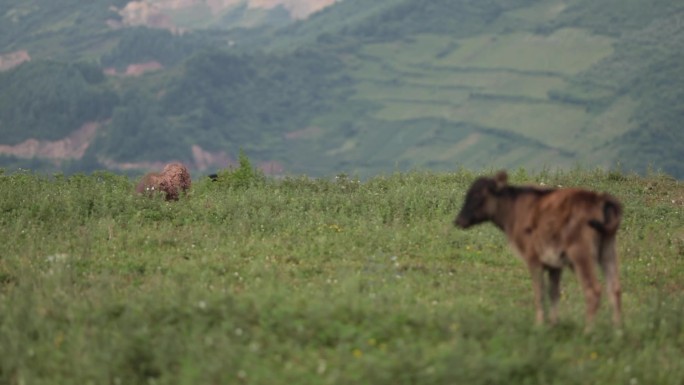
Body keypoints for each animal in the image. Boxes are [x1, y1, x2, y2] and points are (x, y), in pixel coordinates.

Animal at [454, 171, 620, 328]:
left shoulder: (533, 259)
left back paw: (588, 332)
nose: (458, 220)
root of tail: (599, 199)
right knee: (614, 289)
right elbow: (553, 293)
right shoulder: (554, 265)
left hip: (580, 255)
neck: (514, 209)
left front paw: (539, 325)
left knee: (593, 290)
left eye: (477, 196)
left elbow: (539, 292)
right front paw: (553, 324)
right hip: (607, 251)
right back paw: (618, 331)